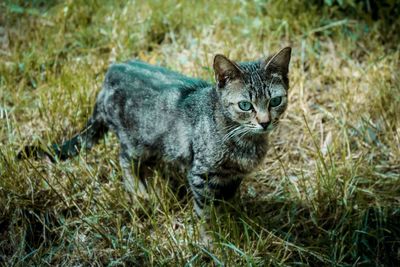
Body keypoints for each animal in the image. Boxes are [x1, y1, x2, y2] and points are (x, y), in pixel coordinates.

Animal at [21, 47, 290, 219]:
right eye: (245, 105)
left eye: (275, 101)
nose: (265, 122)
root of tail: (109, 75)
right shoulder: (200, 173)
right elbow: (205, 213)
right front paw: (212, 240)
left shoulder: (234, 177)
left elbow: (228, 199)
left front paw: (235, 218)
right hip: (136, 142)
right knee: (124, 159)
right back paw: (139, 192)